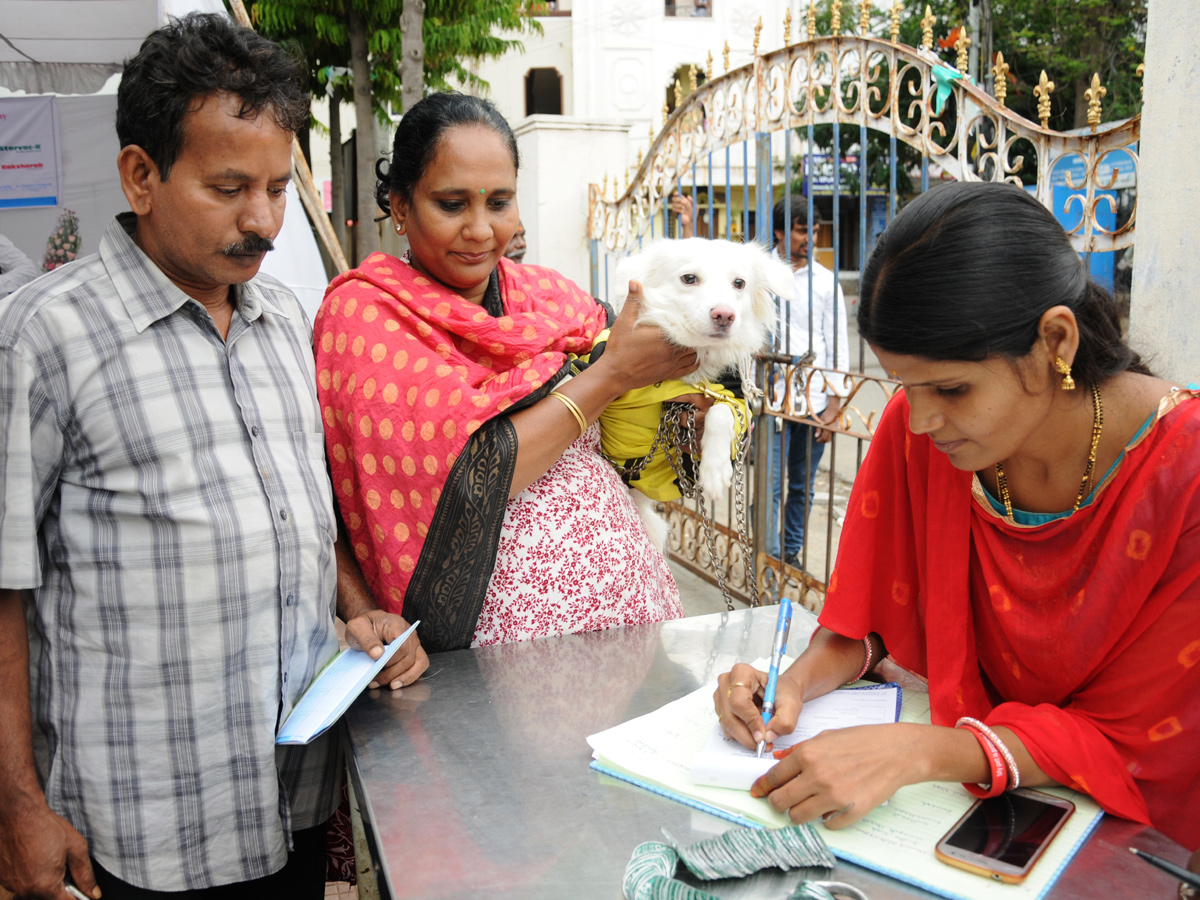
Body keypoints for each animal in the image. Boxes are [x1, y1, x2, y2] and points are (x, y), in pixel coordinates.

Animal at [609, 240, 796, 547]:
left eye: (739, 283)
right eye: (689, 279)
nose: (725, 315)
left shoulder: (735, 398)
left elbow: (721, 410)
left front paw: (715, 470)